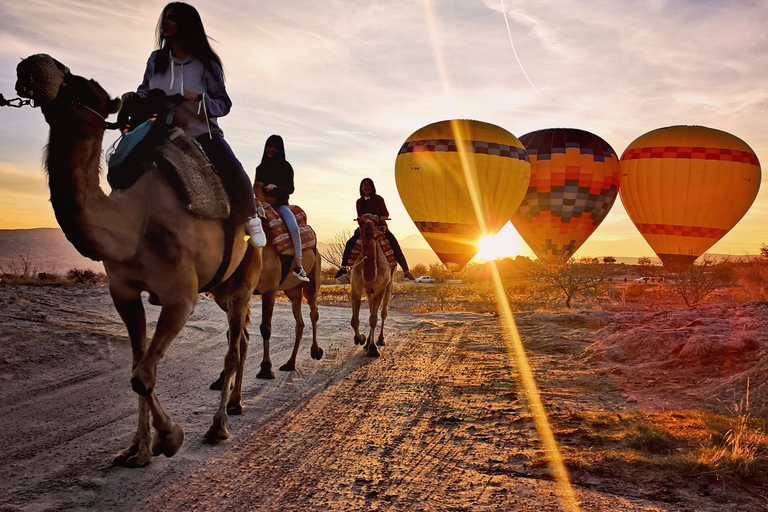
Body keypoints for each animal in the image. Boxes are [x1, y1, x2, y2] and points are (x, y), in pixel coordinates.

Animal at [14, 54, 260, 466]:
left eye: (85, 87)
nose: (33, 64)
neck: (133, 224)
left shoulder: (180, 297)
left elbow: (142, 375)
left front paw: (171, 437)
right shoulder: (124, 292)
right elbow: (138, 364)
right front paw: (138, 449)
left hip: (245, 280)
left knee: (233, 349)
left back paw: (218, 426)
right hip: (222, 289)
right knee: (238, 339)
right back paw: (235, 405)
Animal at [208, 183, 322, 392]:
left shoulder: (269, 288)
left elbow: (265, 328)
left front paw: (265, 369)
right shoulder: (234, 295)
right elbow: (233, 333)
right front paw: (221, 380)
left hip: (312, 278)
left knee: (313, 311)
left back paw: (316, 351)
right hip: (292, 290)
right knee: (299, 322)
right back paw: (290, 363)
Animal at [350, 212, 396, 356]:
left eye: (376, 221)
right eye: (360, 222)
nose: (369, 229)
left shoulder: (380, 288)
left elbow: (373, 319)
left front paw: (373, 349)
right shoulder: (356, 287)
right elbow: (354, 320)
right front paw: (360, 339)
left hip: (389, 285)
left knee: (383, 312)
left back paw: (380, 340)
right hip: (369, 291)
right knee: (371, 310)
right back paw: (367, 344)